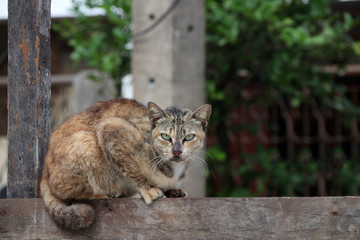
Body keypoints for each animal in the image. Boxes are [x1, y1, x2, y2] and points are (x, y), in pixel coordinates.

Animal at [40, 98, 211, 231]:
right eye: (165, 136)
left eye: (189, 137)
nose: (176, 152)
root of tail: (44, 172)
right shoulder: (111, 130)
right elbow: (131, 169)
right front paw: (149, 189)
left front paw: (173, 190)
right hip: (84, 144)